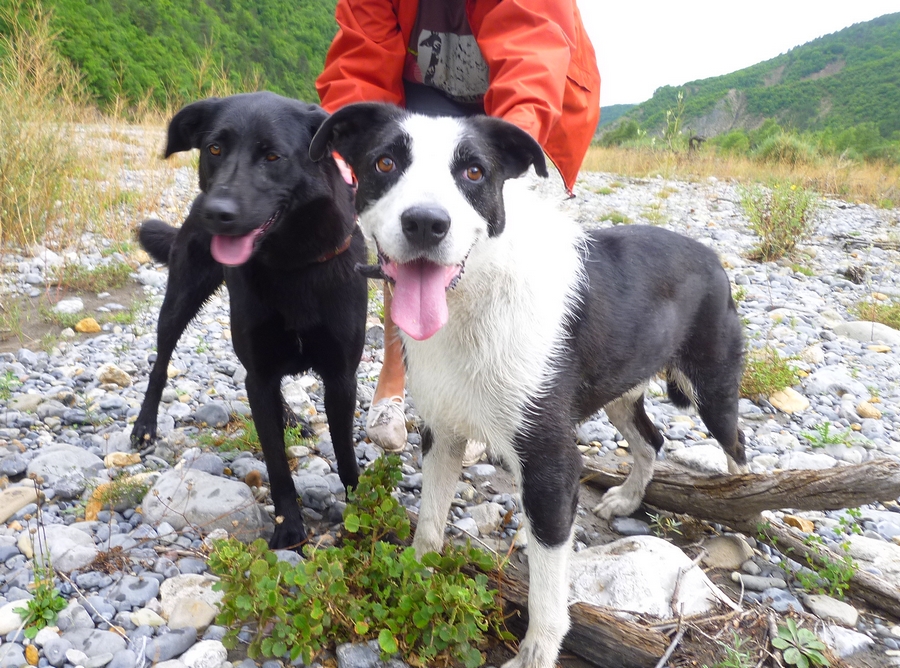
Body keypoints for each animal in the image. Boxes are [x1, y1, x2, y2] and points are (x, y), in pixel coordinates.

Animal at [129, 92, 366, 548]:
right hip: (180, 301)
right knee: (161, 363)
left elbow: (346, 454)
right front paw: (289, 528)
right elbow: (275, 463)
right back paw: (145, 425)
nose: (216, 213)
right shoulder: (259, 373)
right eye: (214, 149)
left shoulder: (342, 378)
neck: (292, 264)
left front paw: (366, 518)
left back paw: (290, 417)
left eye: (273, 156)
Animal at [312, 104, 748, 668]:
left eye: (474, 172)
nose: (426, 223)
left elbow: (547, 583)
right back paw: (627, 501)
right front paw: (416, 577)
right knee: (651, 441)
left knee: (737, 449)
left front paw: (537, 649)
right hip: (620, 393)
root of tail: (713, 257)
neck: (474, 296)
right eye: (384, 162)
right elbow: (429, 521)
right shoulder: (442, 433)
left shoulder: (550, 462)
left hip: (712, 388)